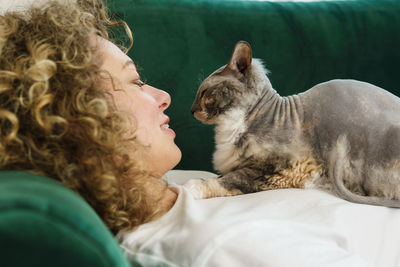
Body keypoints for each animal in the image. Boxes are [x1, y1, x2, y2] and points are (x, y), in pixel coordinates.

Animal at [186, 40, 400, 207]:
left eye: (204, 93)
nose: (191, 110)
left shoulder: (281, 169)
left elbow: (228, 180)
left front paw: (190, 187)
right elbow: (223, 176)